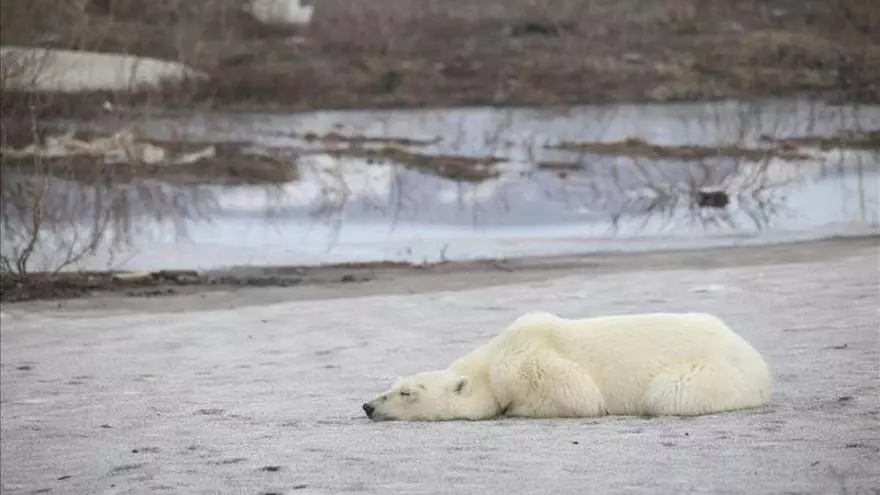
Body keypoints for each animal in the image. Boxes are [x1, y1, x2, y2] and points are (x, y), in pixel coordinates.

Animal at [362, 312, 772, 421]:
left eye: (406, 393)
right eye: (393, 384)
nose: (367, 406)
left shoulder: (532, 363)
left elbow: (579, 395)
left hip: (712, 374)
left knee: (669, 392)